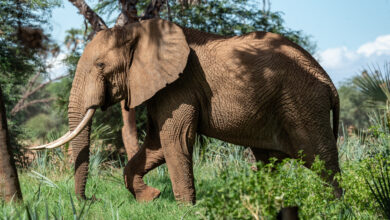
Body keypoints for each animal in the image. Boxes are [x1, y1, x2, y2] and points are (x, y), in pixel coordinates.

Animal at [32, 18, 340, 204]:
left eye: (99, 65)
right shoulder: (162, 87)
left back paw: (335, 206)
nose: (91, 200)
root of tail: (329, 81)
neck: (138, 30)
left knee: (322, 160)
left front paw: (186, 209)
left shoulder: (180, 85)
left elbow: (175, 139)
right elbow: (156, 144)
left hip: (303, 103)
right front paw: (152, 197)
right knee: (269, 162)